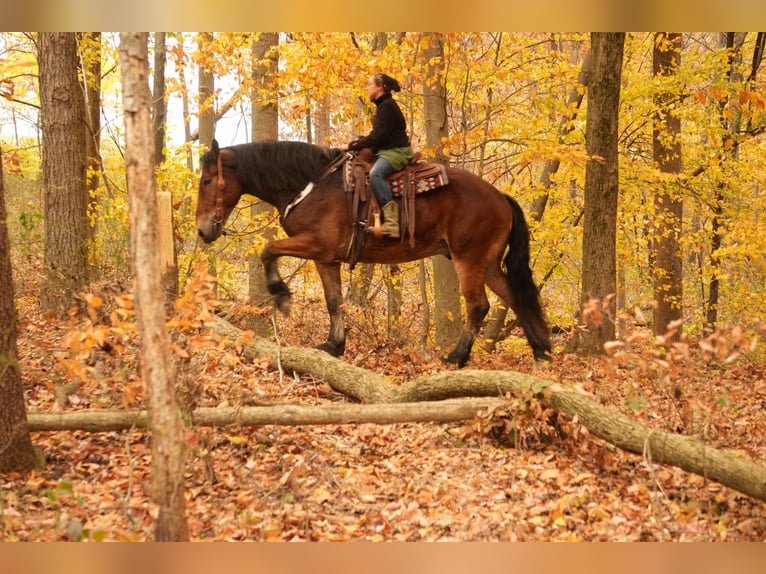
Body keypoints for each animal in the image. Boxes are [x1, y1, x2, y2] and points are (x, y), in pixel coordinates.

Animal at [195, 142, 548, 372]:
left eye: (208, 180)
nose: (202, 230)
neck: (312, 185)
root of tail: (500, 196)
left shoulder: (315, 245)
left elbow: (268, 250)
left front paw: (281, 295)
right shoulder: (326, 258)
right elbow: (334, 301)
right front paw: (334, 345)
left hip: (469, 260)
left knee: (478, 306)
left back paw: (457, 357)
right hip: (488, 264)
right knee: (515, 296)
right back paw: (541, 351)